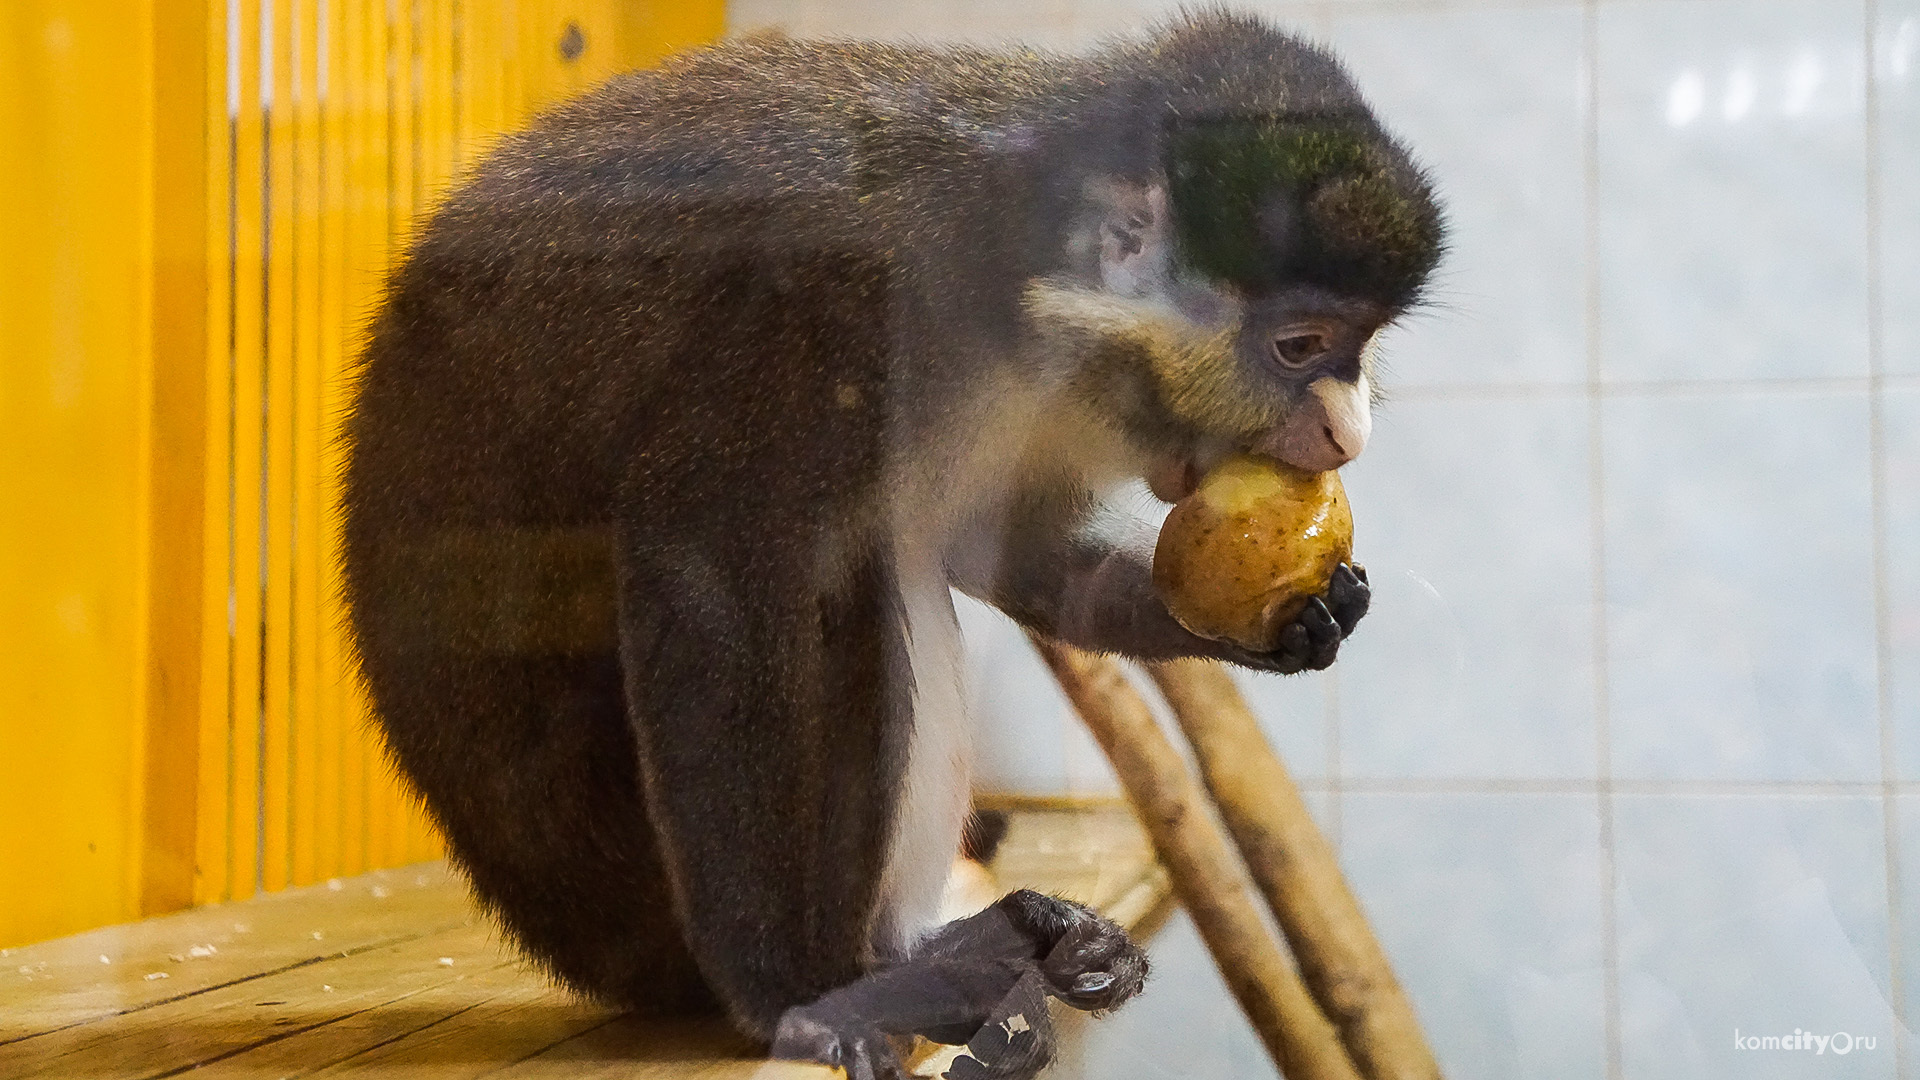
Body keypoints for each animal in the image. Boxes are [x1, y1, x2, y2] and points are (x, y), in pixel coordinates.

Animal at [337, 10, 1443, 1076]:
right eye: (1300, 347)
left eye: (1362, 346)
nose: (1348, 431)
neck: (1007, 262)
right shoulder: (834, 307)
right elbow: (713, 573)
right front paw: (792, 990)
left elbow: (1012, 550)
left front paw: (1301, 620)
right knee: (856, 581)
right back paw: (901, 965)